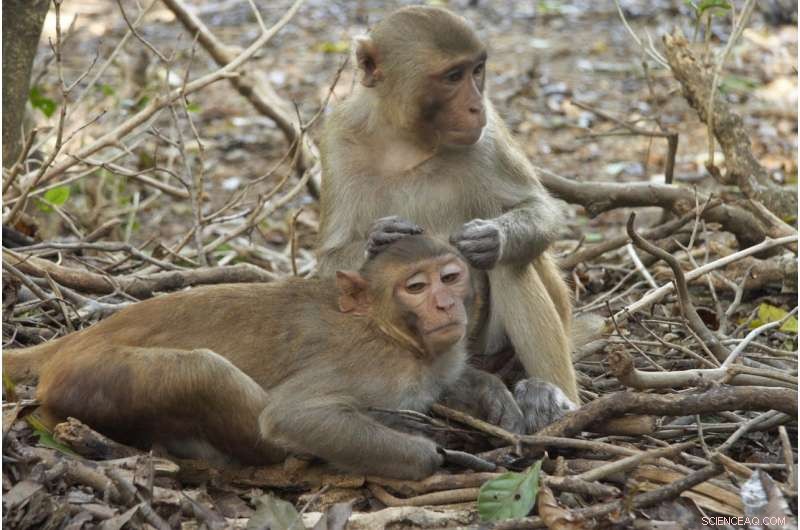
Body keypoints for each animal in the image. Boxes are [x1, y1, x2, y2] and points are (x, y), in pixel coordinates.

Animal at [4, 236, 524, 479]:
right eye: (416, 287)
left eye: (450, 277)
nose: (445, 305)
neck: (392, 332)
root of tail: (75, 340)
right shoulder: (377, 368)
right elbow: (292, 415)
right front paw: (437, 455)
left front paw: (494, 396)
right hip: (91, 375)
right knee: (206, 373)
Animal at [316, 6, 579, 432]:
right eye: (453, 76)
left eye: (477, 70)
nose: (477, 106)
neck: (408, 143)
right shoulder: (338, 139)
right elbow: (330, 265)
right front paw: (380, 239)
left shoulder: (489, 134)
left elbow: (541, 209)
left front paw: (493, 237)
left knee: (510, 266)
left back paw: (557, 401)